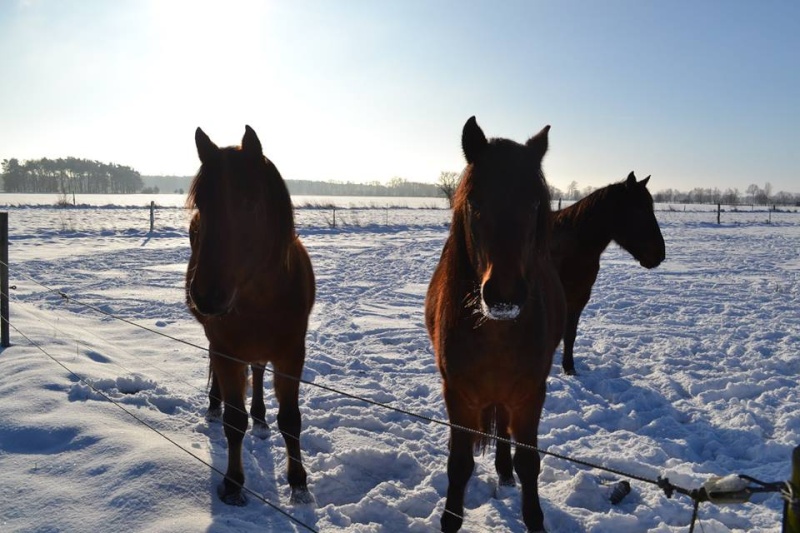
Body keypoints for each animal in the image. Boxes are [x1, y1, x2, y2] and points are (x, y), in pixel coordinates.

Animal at [186, 127, 314, 504]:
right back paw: (214, 407)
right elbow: (234, 421)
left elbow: (291, 420)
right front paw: (232, 483)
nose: (207, 296)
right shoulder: (228, 351)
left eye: (250, 203)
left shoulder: (291, 353)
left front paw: (299, 483)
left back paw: (260, 418)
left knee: (257, 372)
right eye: (202, 204)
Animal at [424, 117, 568, 532]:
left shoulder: (530, 395)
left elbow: (529, 463)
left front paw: (534, 518)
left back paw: (504, 472)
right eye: (475, 202)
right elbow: (459, 466)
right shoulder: (457, 396)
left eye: (534, 203)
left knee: (504, 430)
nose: (504, 296)